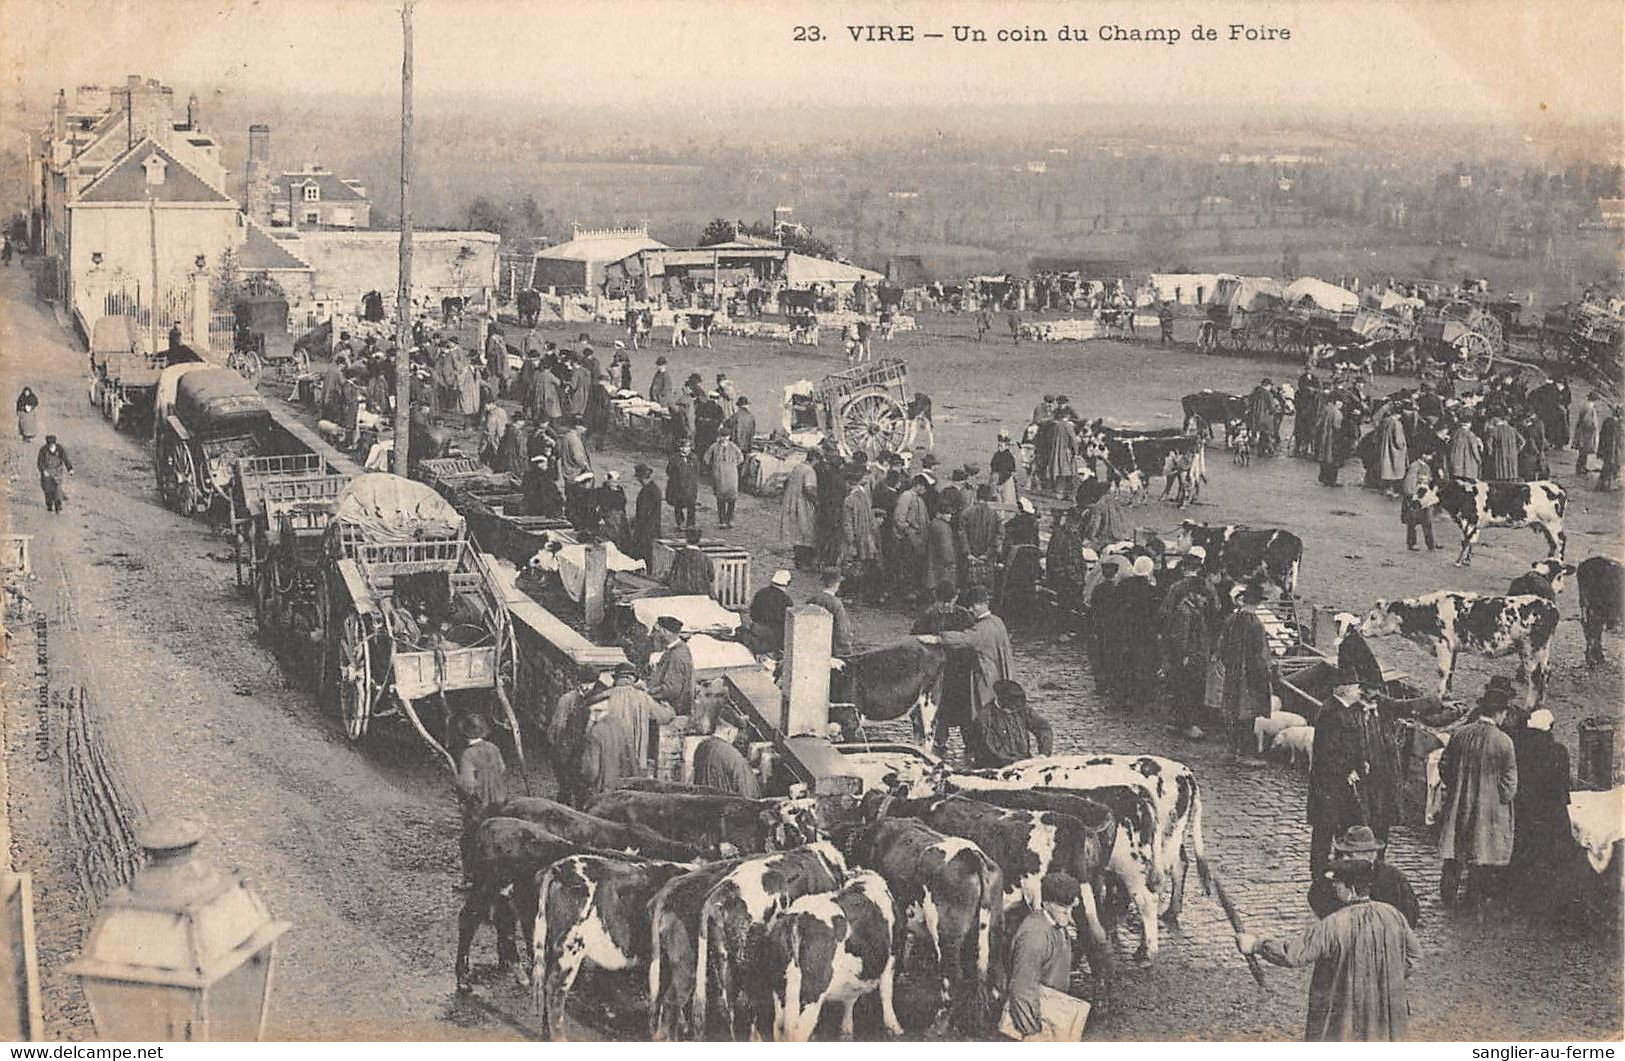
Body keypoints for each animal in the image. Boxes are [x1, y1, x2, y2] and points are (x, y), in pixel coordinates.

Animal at [757, 870, 903, 1039]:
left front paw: (846, 1030)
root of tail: (796, 917)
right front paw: (895, 1027)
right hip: (813, 991)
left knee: (778, 1026)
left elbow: (850, 998)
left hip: (779, 987)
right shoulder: (891, 958)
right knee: (800, 1032)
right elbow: (886, 993)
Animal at [1358, 591, 1560, 708]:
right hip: (1542, 651)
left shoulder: (1443, 645)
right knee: (1546, 672)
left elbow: (1442, 672)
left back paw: (1528, 706)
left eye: (1373, 617)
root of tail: (1551, 606)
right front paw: (1447, 695)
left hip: (1530, 650)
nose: (1360, 630)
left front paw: (1439, 697)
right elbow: (1450, 672)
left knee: (1535, 677)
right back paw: (1540, 703)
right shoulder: (1453, 649)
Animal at [1417, 474, 1566, 565]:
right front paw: (1466, 561)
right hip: (1545, 526)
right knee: (1552, 544)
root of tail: (1557, 487)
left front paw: (1458, 561)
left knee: (1560, 542)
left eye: (1422, 491)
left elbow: (1465, 541)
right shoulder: (1473, 525)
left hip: (1553, 524)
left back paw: (1559, 562)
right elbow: (1471, 542)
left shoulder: (1469, 522)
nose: (1413, 503)